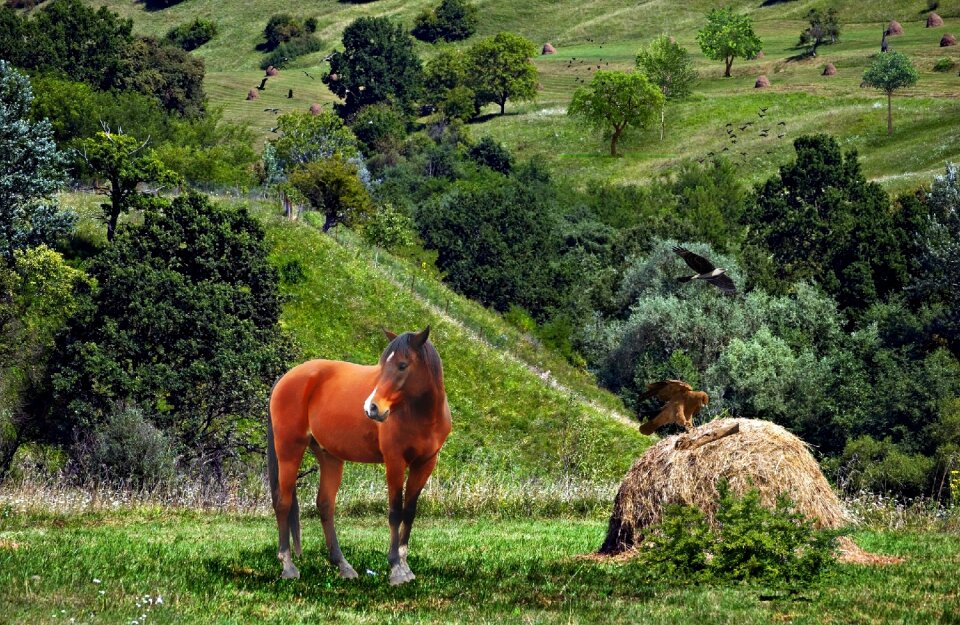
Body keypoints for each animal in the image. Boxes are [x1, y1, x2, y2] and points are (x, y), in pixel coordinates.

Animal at [266, 326, 450, 584]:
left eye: (402, 365)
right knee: (283, 502)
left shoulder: (425, 464)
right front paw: (395, 568)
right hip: (289, 449)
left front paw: (405, 566)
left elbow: (410, 512)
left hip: (329, 457)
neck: (419, 414)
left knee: (325, 504)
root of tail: (286, 378)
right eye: (382, 366)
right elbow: (395, 512)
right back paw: (288, 565)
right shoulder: (395, 461)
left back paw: (343, 565)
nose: (372, 407)